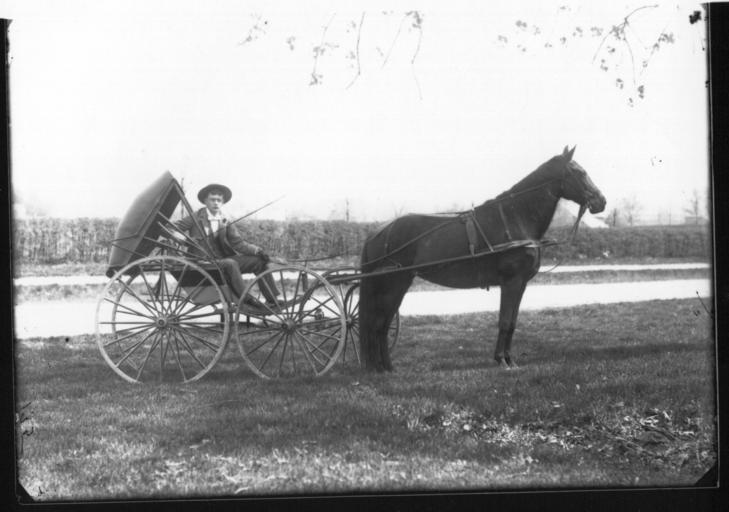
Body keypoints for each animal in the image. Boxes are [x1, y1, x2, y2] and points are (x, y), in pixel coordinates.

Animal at [358, 146, 606, 372]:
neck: (516, 218)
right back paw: (384, 368)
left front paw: (510, 359)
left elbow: (512, 322)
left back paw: (383, 367)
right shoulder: (511, 282)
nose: (601, 201)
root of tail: (377, 233)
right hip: (395, 284)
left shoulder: (521, 284)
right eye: (580, 172)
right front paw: (502, 360)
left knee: (380, 325)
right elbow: (504, 321)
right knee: (379, 324)